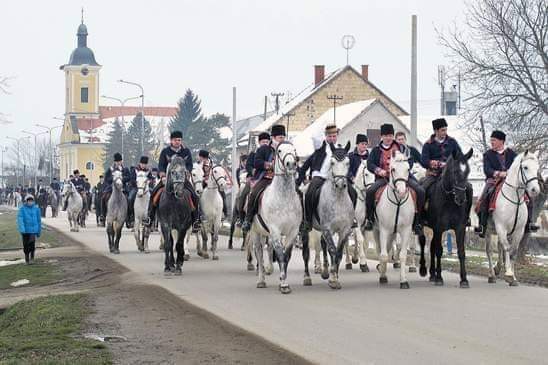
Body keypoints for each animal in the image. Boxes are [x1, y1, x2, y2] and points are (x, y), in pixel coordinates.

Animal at [250, 140, 302, 292]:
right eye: (279, 151)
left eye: (294, 150)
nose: (291, 164)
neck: (283, 197)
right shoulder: (275, 230)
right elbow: (279, 255)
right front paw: (284, 284)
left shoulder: (293, 231)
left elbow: (286, 256)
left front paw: (282, 281)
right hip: (255, 232)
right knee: (259, 253)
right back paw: (261, 280)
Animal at [302, 141, 354, 288]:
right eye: (332, 162)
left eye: (348, 162)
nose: (340, 184)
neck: (338, 200)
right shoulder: (327, 228)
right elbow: (332, 250)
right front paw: (333, 279)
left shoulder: (344, 230)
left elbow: (338, 253)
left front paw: (334, 276)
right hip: (306, 228)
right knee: (306, 252)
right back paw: (307, 278)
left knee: (323, 245)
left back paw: (325, 271)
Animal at [372, 149, 416, 286]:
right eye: (393, 169)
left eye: (408, 169)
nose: (401, 191)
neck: (398, 202)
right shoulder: (384, 230)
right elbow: (383, 255)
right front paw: (382, 276)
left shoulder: (406, 230)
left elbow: (402, 255)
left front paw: (404, 281)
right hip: (377, 230)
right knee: (380, 249)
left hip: (393, 233)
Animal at [420, 148, 476, 288]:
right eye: (455, 171)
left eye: (467, 171)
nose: (461, 199)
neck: (449, 200)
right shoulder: (439, 228)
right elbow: (439, 251)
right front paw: (439, 278)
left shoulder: (460, 228)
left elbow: (461, 252)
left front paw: (464, 279)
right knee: (424, 243)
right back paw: (425, 270)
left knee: (432, 247)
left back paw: (432, 274)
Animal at [486, 150, 540, 284]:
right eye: (525, 167)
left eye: (537, 168)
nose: (535, 190)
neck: (514, 198)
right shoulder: (501, 227)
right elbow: (507, 248)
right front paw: (509, 274)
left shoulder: (519, 231)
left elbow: (513, 251)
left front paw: (513, 278)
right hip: (489, 231)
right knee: (489, 250)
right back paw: (491, 275)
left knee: (499, 247)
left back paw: (498, 268)